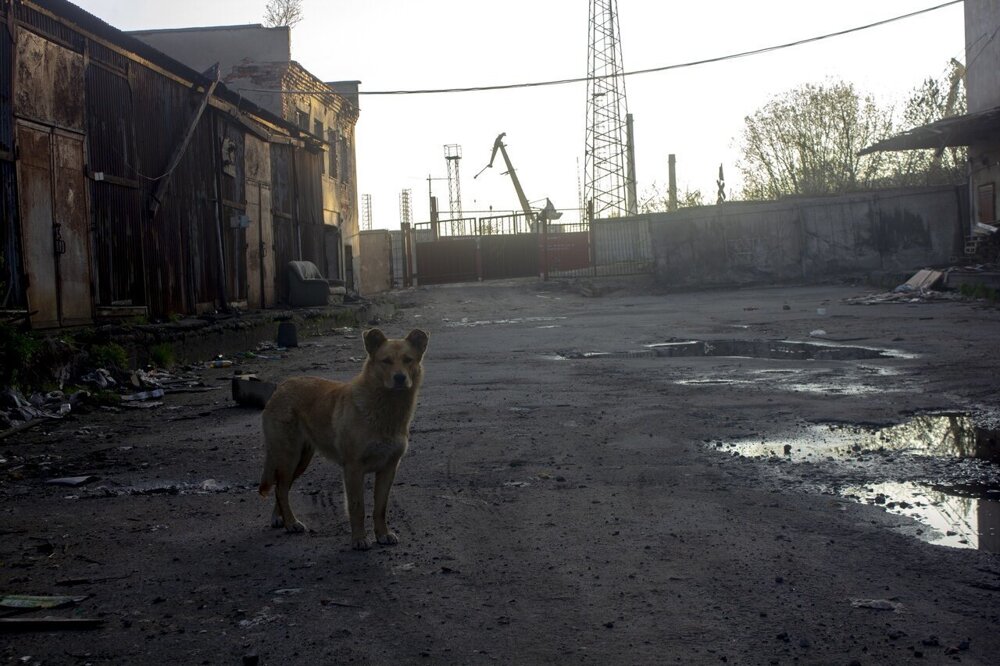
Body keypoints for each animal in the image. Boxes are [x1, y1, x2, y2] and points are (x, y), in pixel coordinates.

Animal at [258, 328, 426, 548]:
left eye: (408, 360)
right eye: (386, 361)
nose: (399, 378)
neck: (385, 409)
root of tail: (281, 386)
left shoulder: (388, 468)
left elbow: (380, 508)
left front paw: (382, 534)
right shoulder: (353, 468)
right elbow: (357, 507)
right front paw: (359, 539)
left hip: (300, 461)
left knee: (281, 488)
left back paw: (281, 518)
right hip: (289, 456)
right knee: (281, 488)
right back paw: (291, 523)